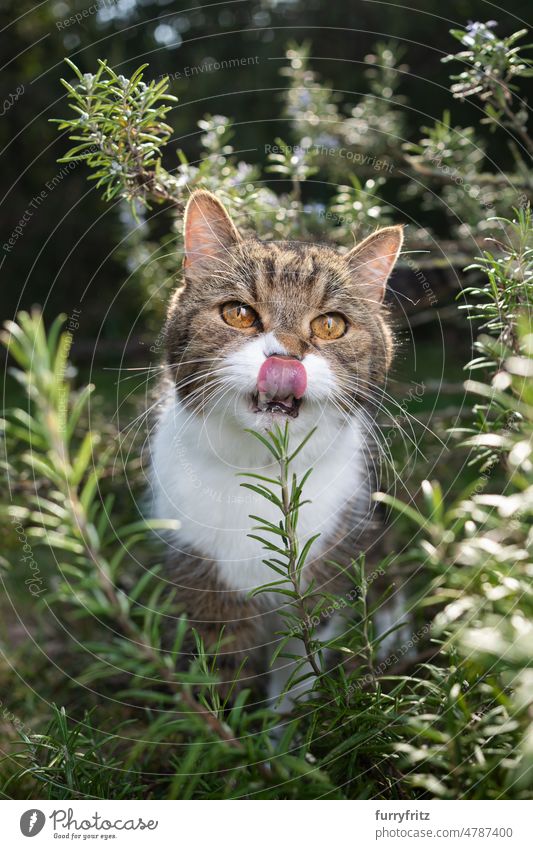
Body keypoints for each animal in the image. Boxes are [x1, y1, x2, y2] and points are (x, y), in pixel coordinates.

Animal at [150, 190, 404, 708]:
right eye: (238, 313)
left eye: (331, 325)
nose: (285, 358)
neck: (260, 469)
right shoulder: (202, 581)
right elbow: (223, 673)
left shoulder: (326, 570)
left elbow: (298, 669)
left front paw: (292, 725)